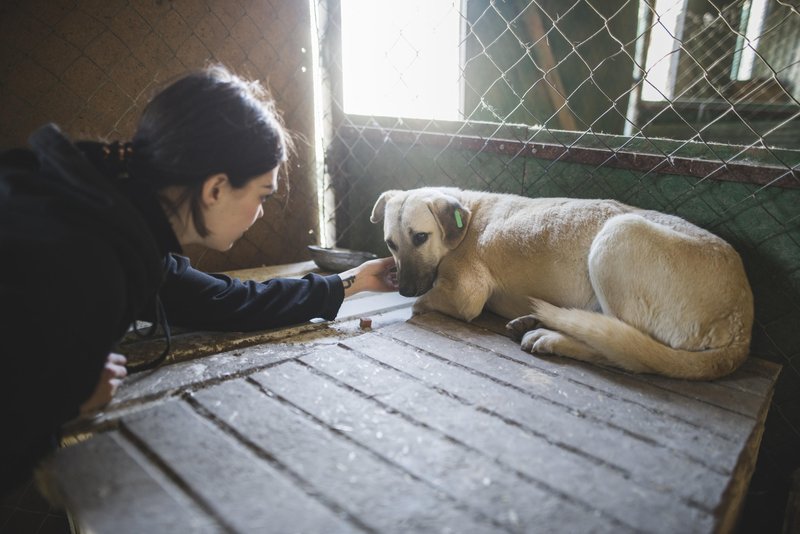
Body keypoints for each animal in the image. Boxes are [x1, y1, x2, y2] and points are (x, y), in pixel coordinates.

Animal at [372, 188, 752, 382]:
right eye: (391, 244)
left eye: (420, 237)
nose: (404, 289)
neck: (466, 217)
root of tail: (742, 325)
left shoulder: (465, 295)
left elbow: (423, 303)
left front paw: (413, 303)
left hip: (618, 235)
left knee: (623, 350)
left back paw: (551, 337)